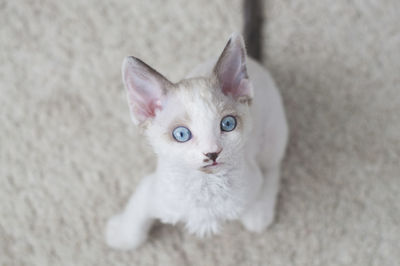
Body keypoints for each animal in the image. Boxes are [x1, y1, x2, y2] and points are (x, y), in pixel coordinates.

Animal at [106, 33, 288, 249]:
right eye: (181, 134)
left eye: (228, 123)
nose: (212, 152)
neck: (205, 187)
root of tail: (252, 61)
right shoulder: (154, 190)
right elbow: (136, 223)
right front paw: (120, 235)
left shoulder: (252, 179)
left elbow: (261, 180)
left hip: (273, 133)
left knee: (272, 167)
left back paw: (259, 212)